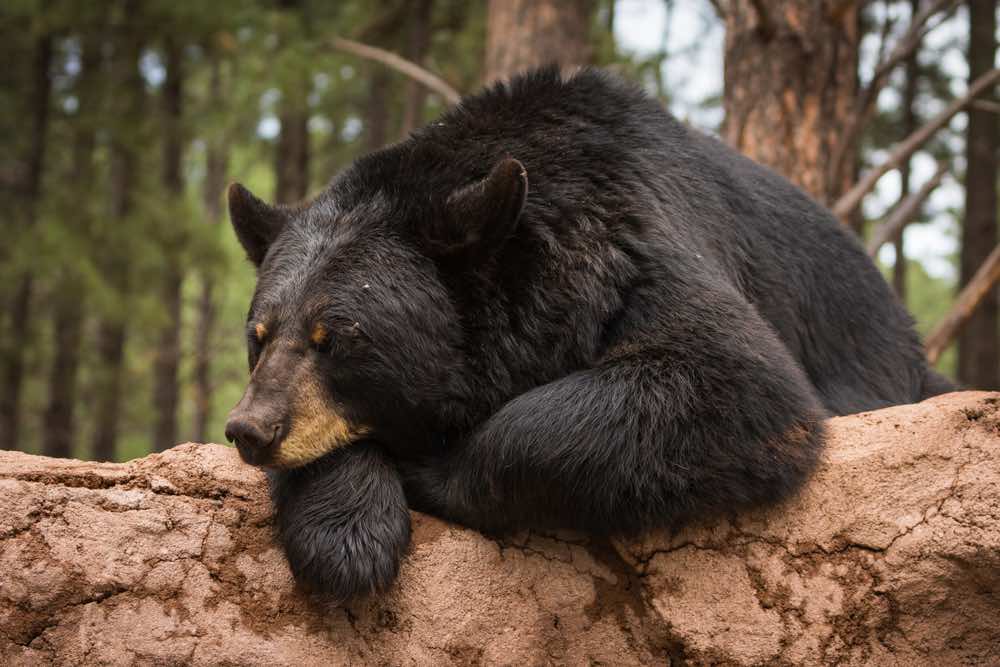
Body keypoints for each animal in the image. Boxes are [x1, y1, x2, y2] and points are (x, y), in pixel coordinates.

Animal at [223, 67, 951, 602]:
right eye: (260, 333)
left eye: (337, 337)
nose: (249, 430)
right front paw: (346, 535)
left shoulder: (634, 239)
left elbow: (734, 377)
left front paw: (430, 467)